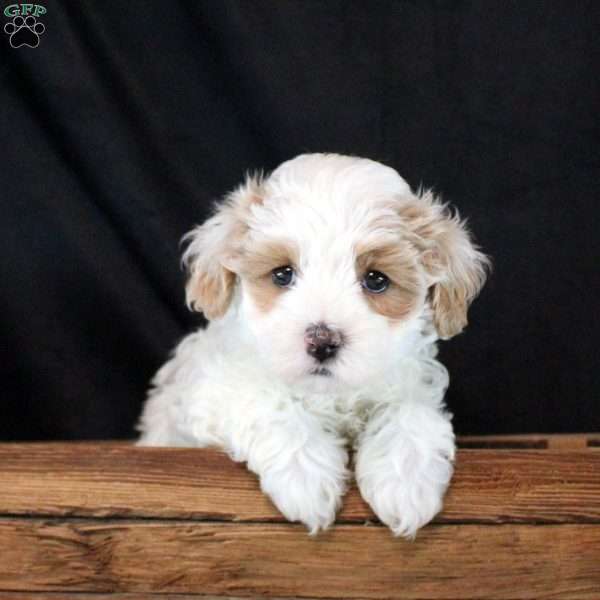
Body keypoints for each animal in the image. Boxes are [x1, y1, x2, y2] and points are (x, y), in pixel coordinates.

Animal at [138, 152, 490, 536]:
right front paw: (305, 476)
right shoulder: (208, 393)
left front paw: (408, 481)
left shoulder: (411, 382)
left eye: (376, 280)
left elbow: (409, 410)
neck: (328, 395)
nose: (322, 341)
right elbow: (266, 399)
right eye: (282, 274)